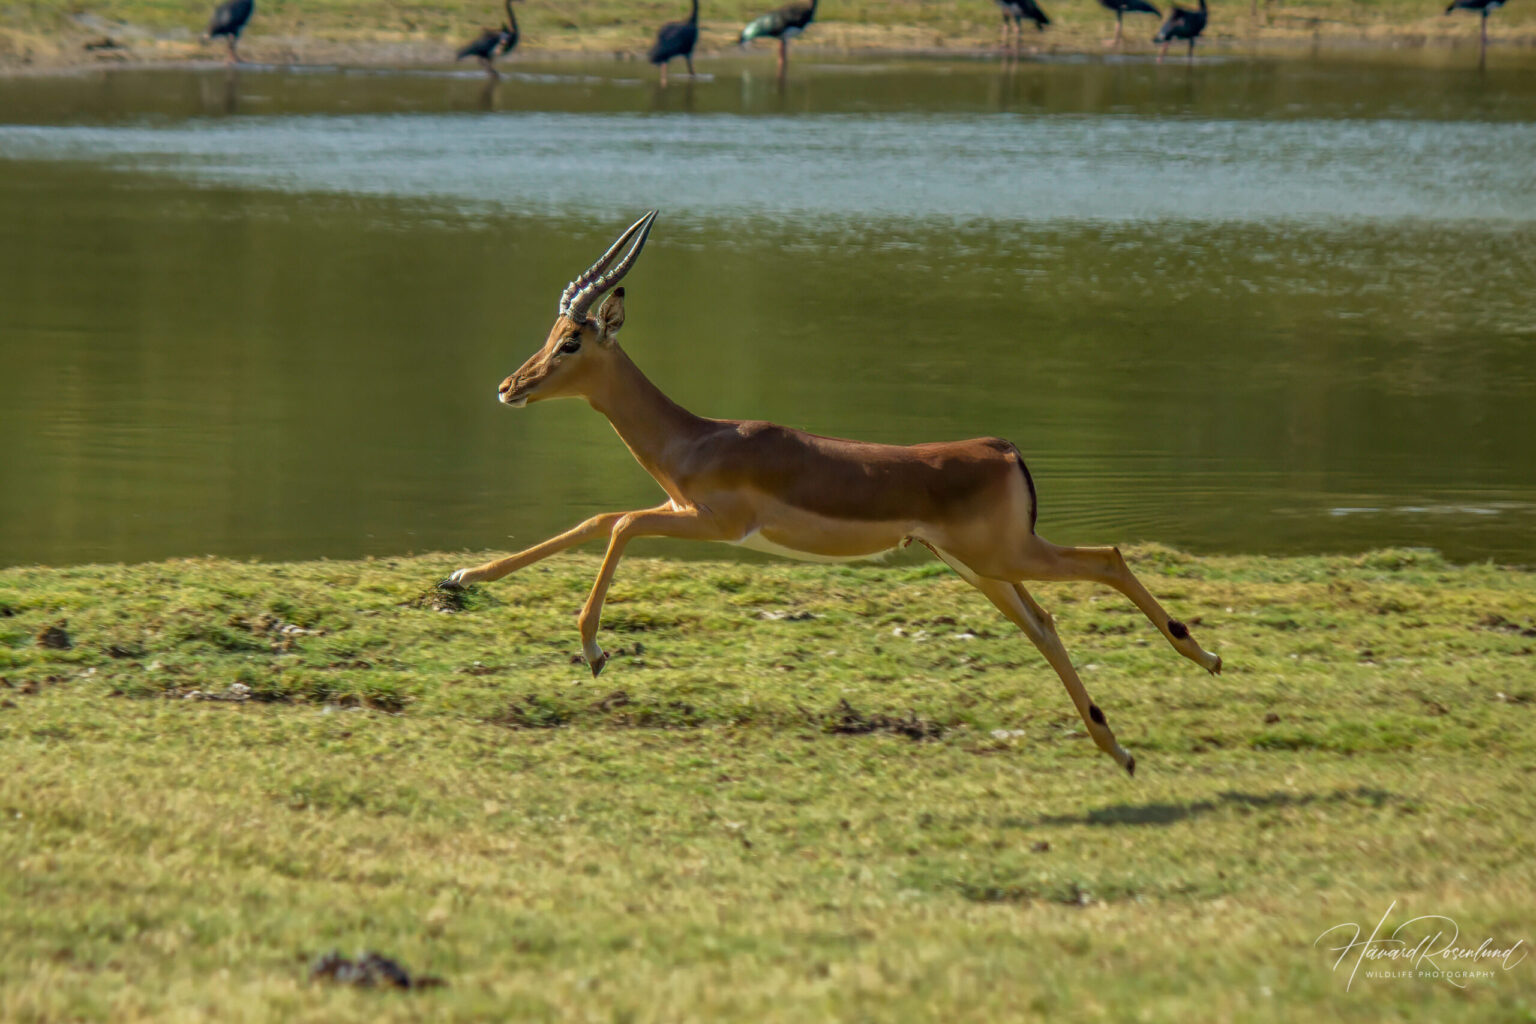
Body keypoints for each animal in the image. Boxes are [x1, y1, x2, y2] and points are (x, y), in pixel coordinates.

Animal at [441, 212, 1223, 775]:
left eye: (572, 340)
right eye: (551, 332)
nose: (510, 387)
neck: (696, 439)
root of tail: (1003, 450)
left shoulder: (713, 523)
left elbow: (619, 525)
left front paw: (594, 649)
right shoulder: (679, 507)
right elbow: (599, 517)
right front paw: (461, 576)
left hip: (1007, 556)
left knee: (1108, 558)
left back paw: (1205, 661)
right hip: (982, 568)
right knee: (1047, 624)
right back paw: (1118, 749)